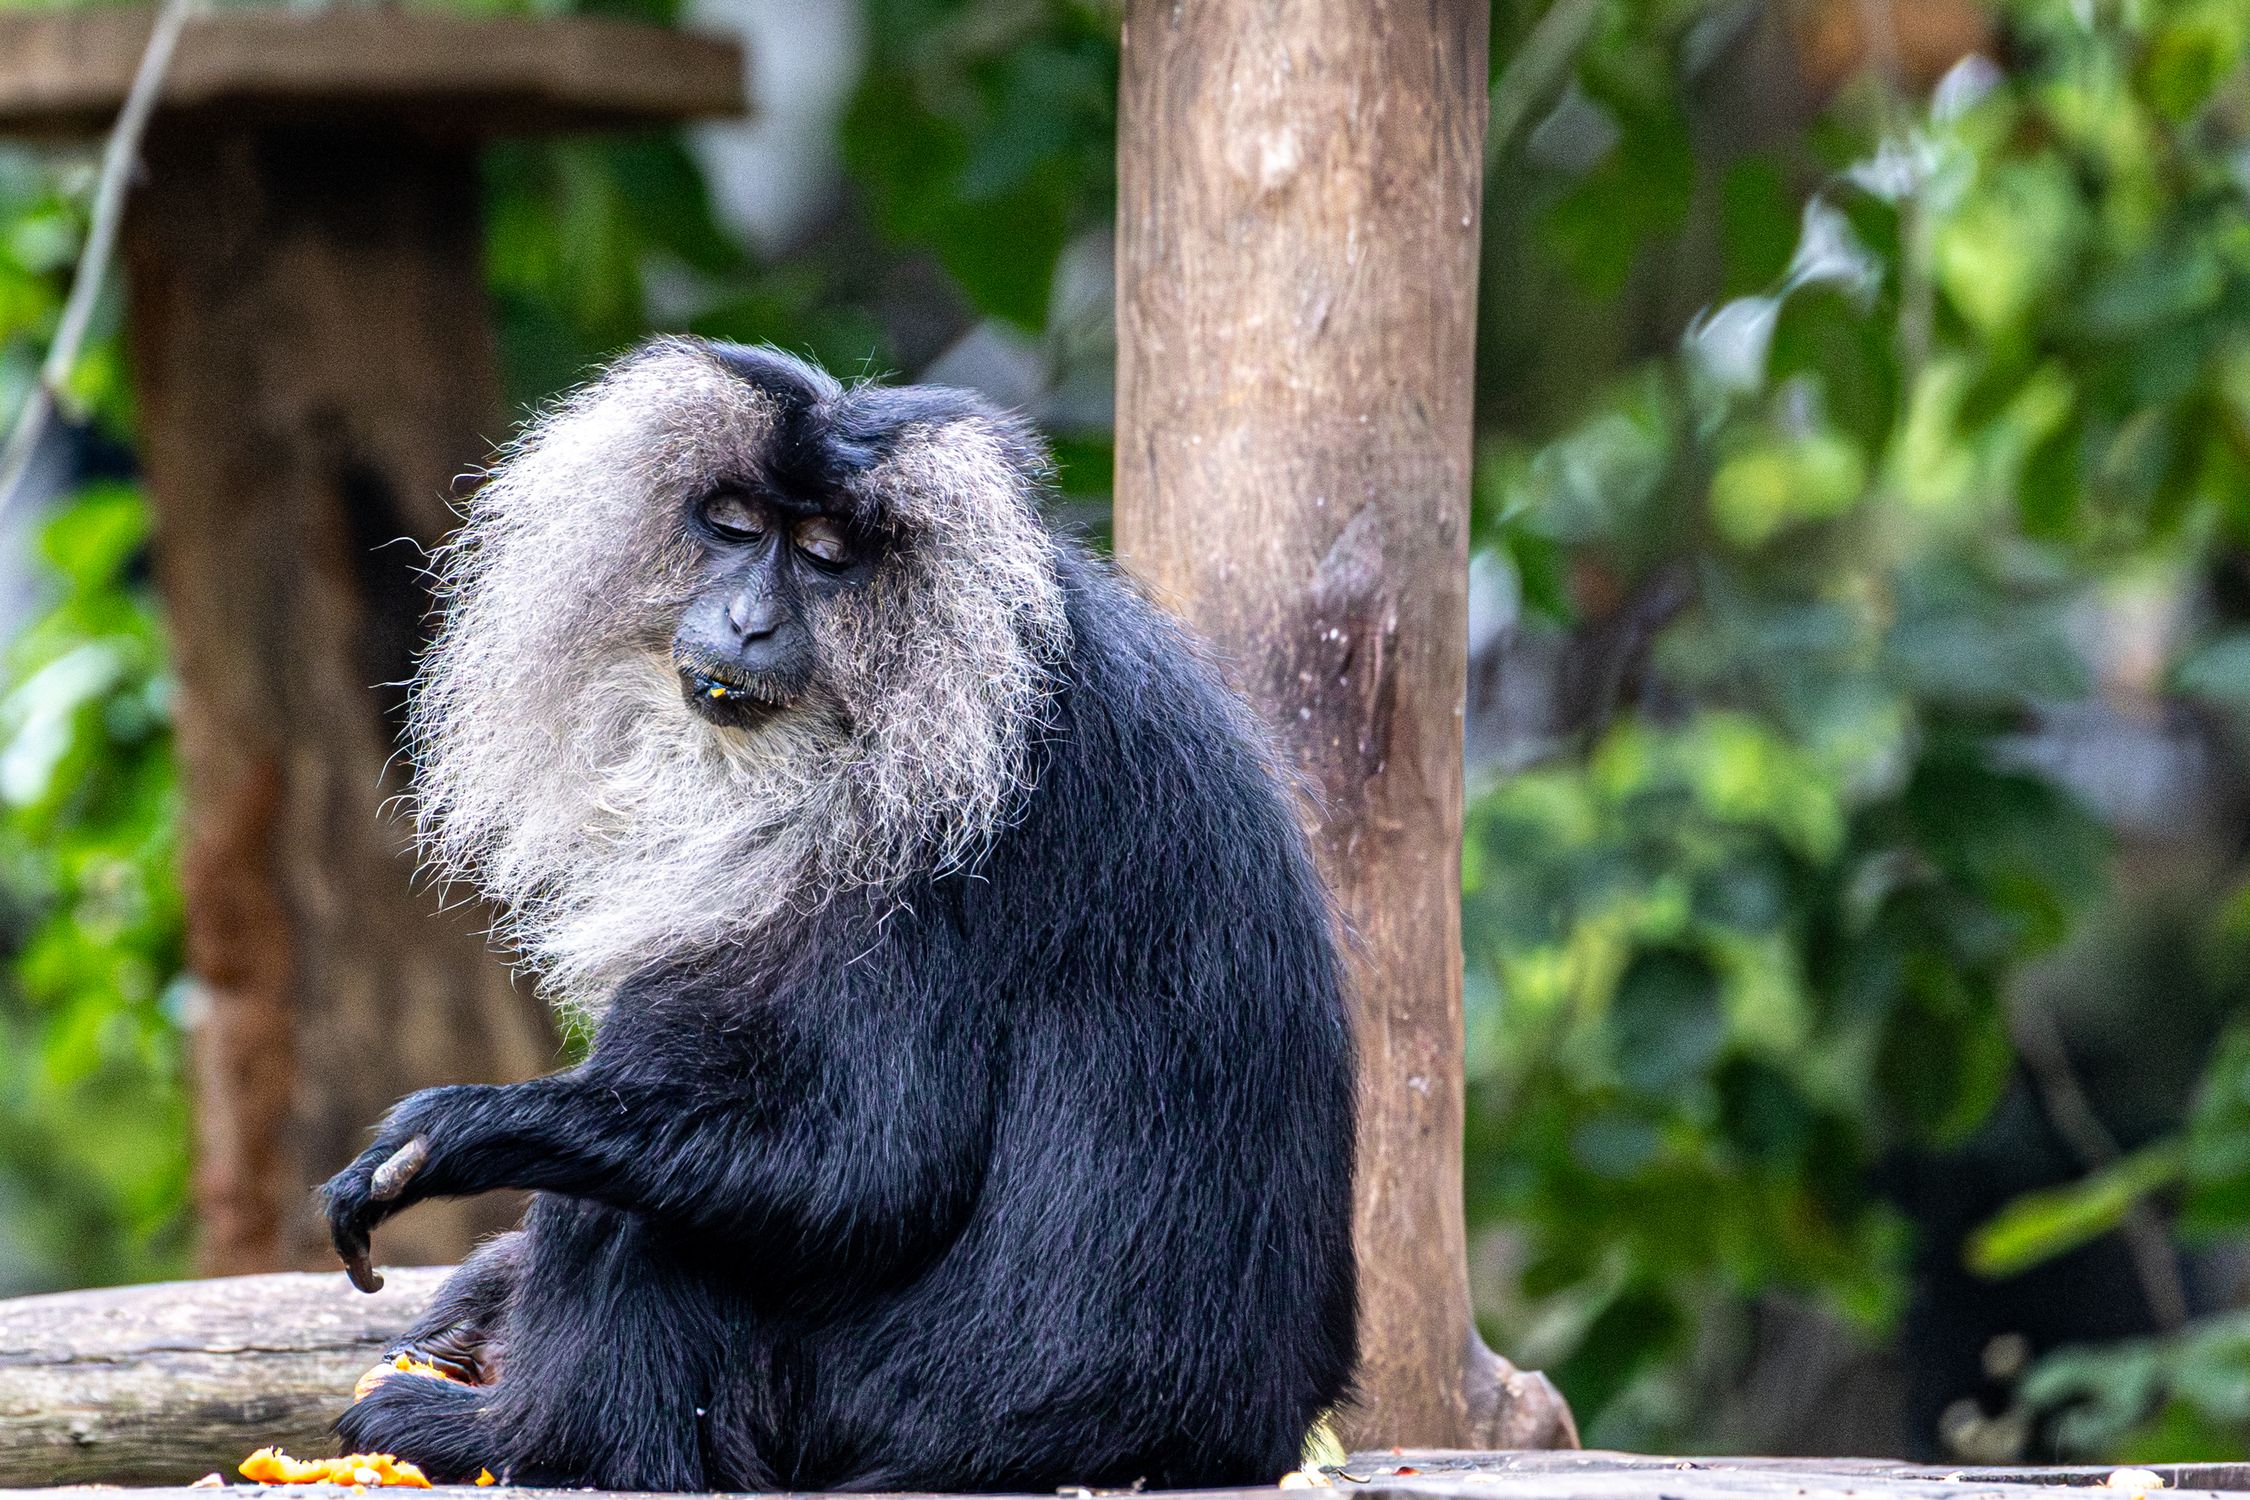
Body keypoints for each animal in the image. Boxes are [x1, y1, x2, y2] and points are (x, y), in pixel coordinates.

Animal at [320, 339, 1358, 1493]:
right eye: (734, 526)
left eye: (823, 555)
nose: (749, 620)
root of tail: (1239, 1431)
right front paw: (472, 1302)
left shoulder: (957, 831)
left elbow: (871, 1170)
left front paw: (458, 1132)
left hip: (906, 1412)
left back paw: (530, 1441)